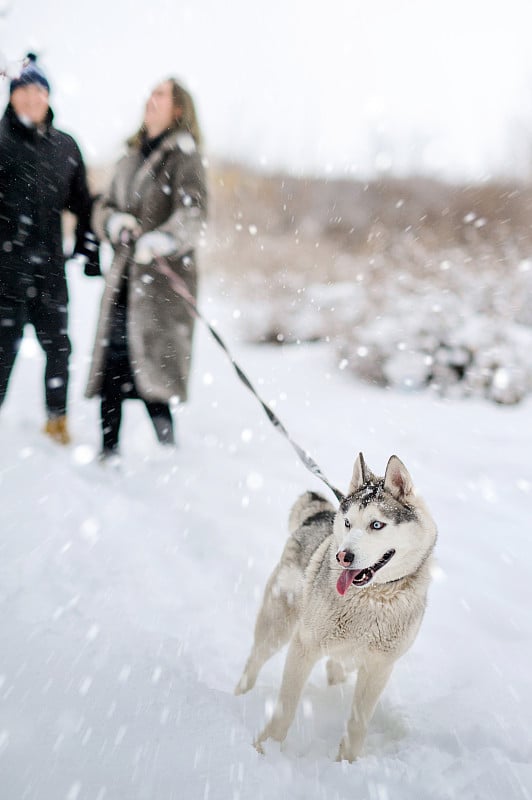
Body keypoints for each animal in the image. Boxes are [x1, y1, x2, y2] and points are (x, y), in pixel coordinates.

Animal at [236, 454, 436, 760]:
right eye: (348, 523)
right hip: (278, 626)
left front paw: (347, 762)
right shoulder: (304, 645)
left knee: (337, 667)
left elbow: (358, 722)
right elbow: (286, 707)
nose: (344, 556)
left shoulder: (379, 665)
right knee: (254, 660)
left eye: (376, 525)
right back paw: (239, 696)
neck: (372, 598)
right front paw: (265, 748)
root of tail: (319, 515)